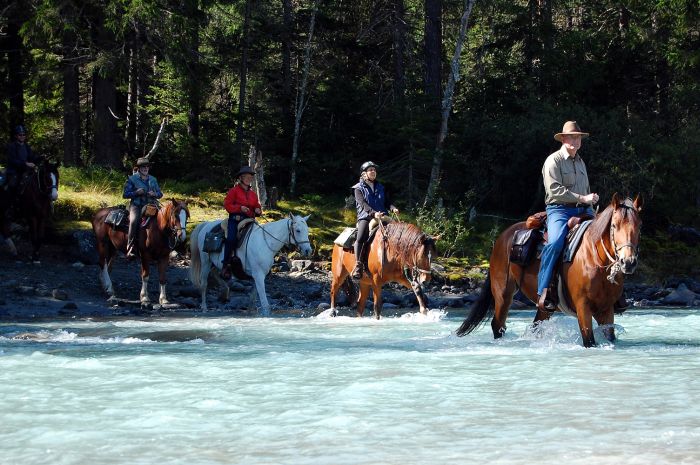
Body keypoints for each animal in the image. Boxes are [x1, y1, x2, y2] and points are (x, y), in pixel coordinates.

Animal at [456, 193, 644, 348]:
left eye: (639, 226)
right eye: (614, 225)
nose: (628, 262)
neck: (594, 259)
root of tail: (503, 237)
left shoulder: (606, 309)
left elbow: (609, 337)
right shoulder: (583, 307)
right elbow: (589, 341)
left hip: (543, 306)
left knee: (534, 326)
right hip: (502, 294)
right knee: (498, 325)